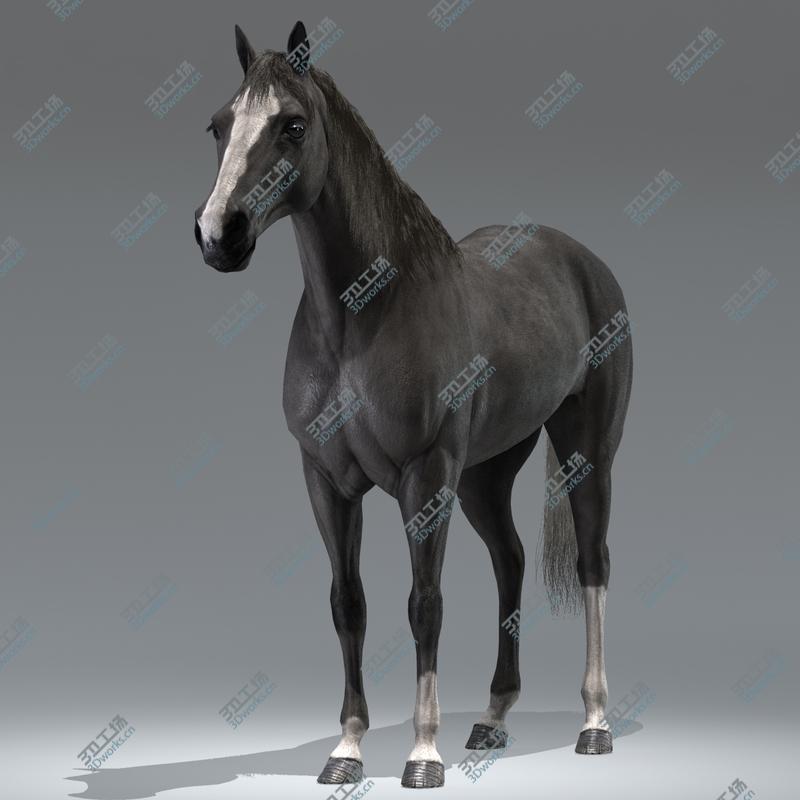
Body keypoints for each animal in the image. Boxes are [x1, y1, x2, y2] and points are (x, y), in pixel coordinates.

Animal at [194, 20, 633, 789]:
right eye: (220, 125)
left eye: (292, 125)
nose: (222, 233)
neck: (365, 317)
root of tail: (584, 262)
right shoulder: (326, 482)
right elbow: (349, 604)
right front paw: (346, 751)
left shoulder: (424, 479)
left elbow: (424, 605)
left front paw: (423, 756)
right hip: (486, 475)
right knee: (511, 561)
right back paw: (492, 718)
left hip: (586, 455)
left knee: (593, 564)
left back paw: (594, 724)